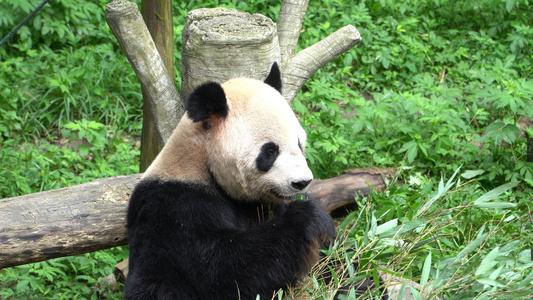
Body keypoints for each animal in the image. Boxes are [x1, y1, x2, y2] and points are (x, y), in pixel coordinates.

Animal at [122, 62, 334, 298]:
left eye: (299, 143)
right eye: (270, 151)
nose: (301, 182)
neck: (202, 160)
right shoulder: (175, 207)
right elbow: (224, 268)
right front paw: (310, 217)